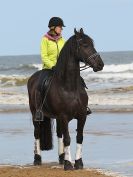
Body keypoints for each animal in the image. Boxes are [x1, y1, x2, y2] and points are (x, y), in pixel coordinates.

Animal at [27, 28, 104, 171]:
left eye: (92, 44)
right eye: (85, 45)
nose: (100, 64)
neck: (69, 87)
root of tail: (32, 78)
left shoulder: (81, 115)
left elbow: (79, 137)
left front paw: (78, 162)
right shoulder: (63, 116)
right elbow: (67, 139)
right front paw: (69, 165)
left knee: (59, 134)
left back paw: (62, 158)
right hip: (35, 114)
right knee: (37, 133)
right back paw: (37, 159)